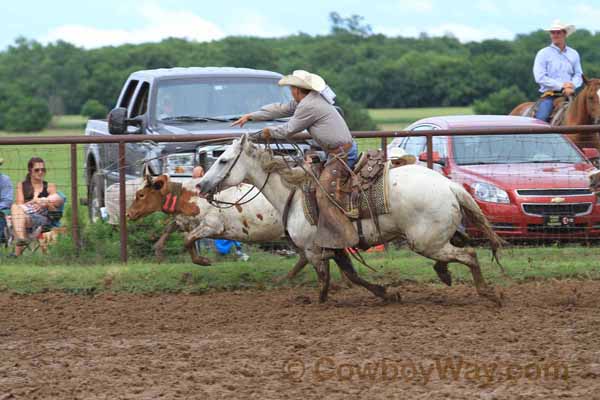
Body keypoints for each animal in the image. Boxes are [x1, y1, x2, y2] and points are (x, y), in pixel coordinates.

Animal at [198, 135, 506, 306]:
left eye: (223, 160)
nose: (201, 185)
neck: (293, 193)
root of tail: (450, 185)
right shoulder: (334, 248)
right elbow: (352, 274)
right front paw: (386, 293)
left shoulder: (313, 250)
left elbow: (327, 278)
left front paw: (321, 301)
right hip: (436, 237)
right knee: (459, 249)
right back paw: (445, 274)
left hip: (425, 241)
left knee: (468, 254)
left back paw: (490, 294)